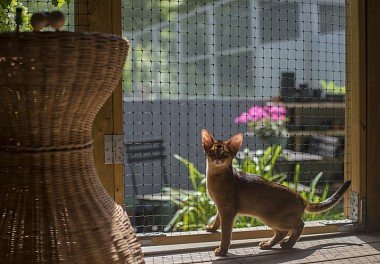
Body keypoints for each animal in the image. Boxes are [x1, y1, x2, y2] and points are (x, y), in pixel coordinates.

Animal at [200, 129, 352, 256]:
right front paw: (212, 228)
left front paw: (222, 250)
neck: (216, 177)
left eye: (225, 154)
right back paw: (269, 244)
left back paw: (288, 244)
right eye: (212, 153)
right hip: (269, 218)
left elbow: (226, 234)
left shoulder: (228, 210)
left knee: (299, 225)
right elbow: (217, 218)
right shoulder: (221, 207)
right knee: (282, 232)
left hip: (274, 218)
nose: (217, 159)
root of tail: (300, 197)